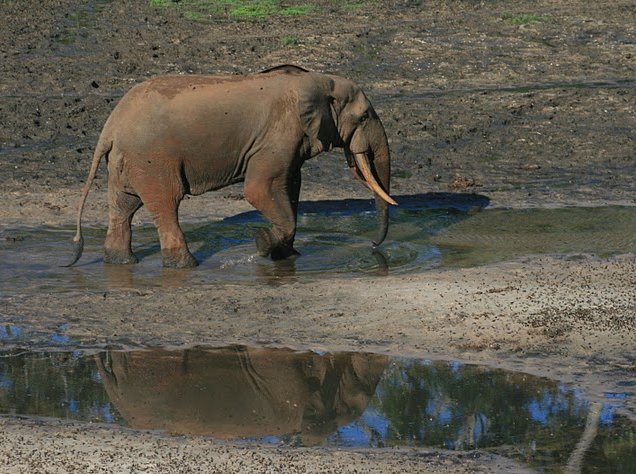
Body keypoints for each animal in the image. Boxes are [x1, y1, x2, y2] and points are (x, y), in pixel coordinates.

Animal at [67, 65, 396, 268]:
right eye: (364, 116)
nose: (372, 245)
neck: (317, 79)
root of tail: (110, 125)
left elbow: (290, 188)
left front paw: (287, 255)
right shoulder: (277, 136)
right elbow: (259, 190)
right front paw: (263, 242)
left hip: (126, 161)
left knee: (123, 206)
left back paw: (121, 262)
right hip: (152, 158)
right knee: (166, 203)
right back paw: (185, 266)